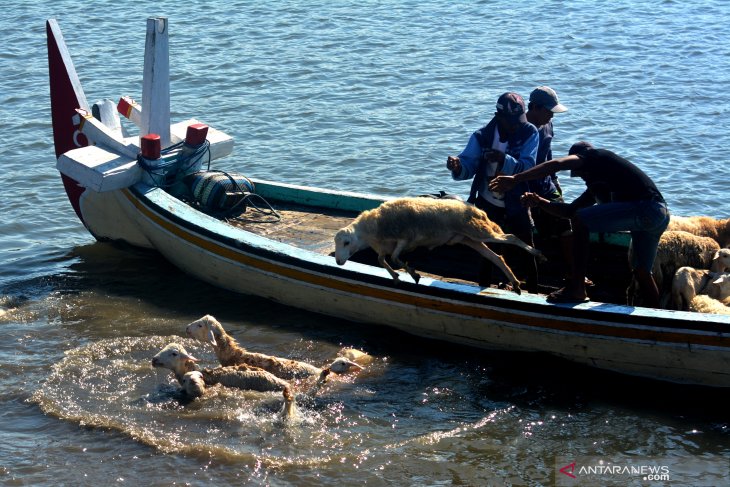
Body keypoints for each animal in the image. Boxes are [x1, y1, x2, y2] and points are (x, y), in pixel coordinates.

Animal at [332, 197, 544, 294]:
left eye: (346, 242)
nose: (339, 262)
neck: (371, 229)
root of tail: (478, 210)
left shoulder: (405, 239)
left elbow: (395, 259)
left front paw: (414, 274)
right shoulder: (386, 247)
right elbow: (382, 260)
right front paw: (397, 277)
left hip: (479, 231)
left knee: (511, 237)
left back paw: (538, 254)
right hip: (470, 239)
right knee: (496, 257)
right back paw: (515, 284)